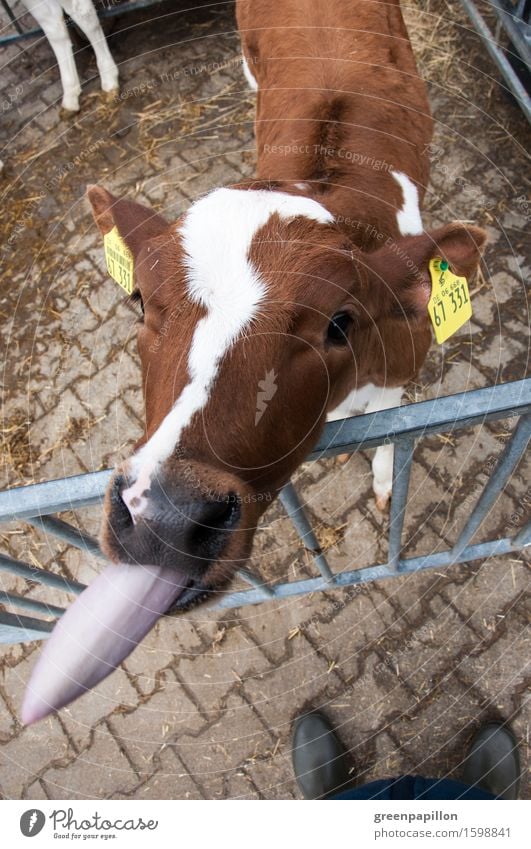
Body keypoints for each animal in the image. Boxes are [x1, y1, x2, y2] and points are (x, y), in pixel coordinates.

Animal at [21, 0, 486, 724]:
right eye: (139, 300)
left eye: (339, 322)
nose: (164, 519)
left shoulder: (400, 363)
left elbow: (392, 434)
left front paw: (385, 481)